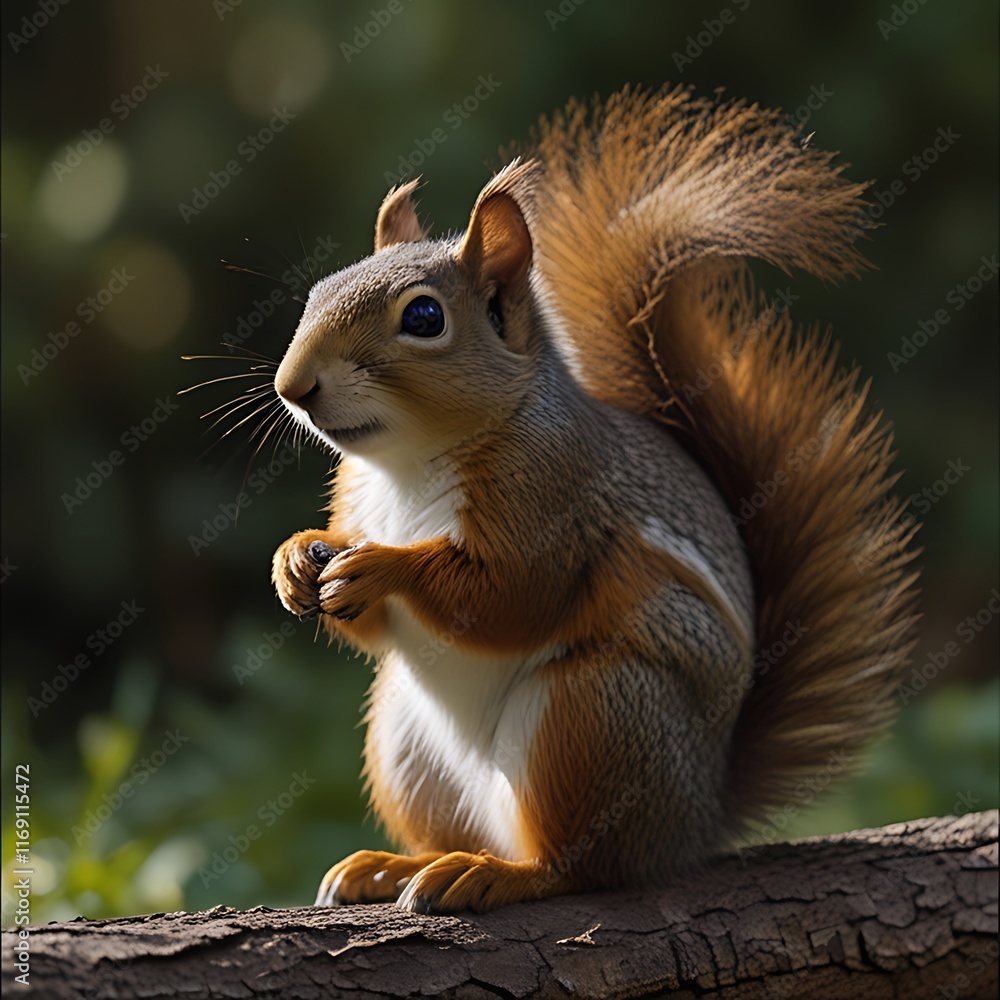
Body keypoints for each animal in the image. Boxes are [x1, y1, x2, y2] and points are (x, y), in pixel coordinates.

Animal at [269, 85, 918, 914]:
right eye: (319, 290)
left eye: (423, 318)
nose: (293, 385)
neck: (408, 464)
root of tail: (696, 820)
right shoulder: (356, 499)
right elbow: (374, 628)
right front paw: (295, 559)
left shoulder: (554, 494)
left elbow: (509, 596)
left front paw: (385, 566)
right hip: (406, 741)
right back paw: (395, 867)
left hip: (596, 714)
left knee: (578, 866)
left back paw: (494, 874)